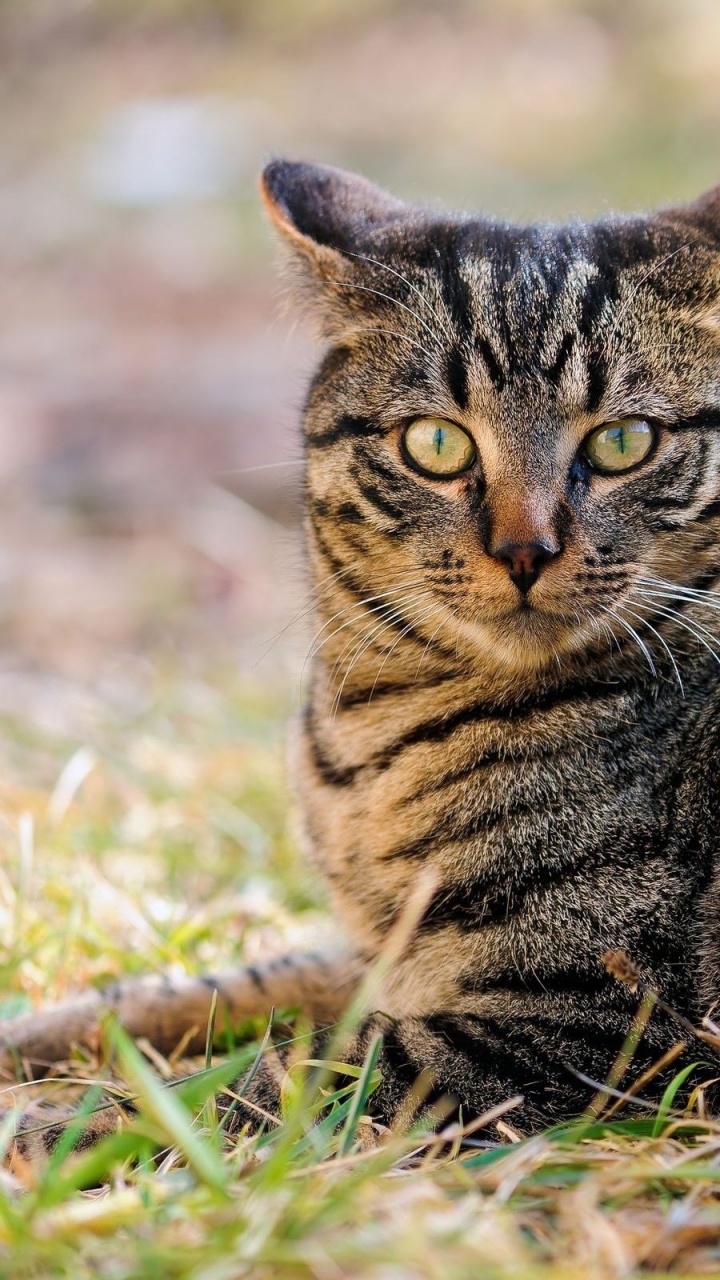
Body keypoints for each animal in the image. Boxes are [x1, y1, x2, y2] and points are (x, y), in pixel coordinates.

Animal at [4, 157, 717, 1152]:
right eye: (436, 442)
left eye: (623, 442)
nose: (526, 551)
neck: (366, 737)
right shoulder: (379, 954)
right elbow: (229, 981)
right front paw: (41, 1033)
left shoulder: (594, 1020)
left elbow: (274, 1084)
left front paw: (60, 1133)